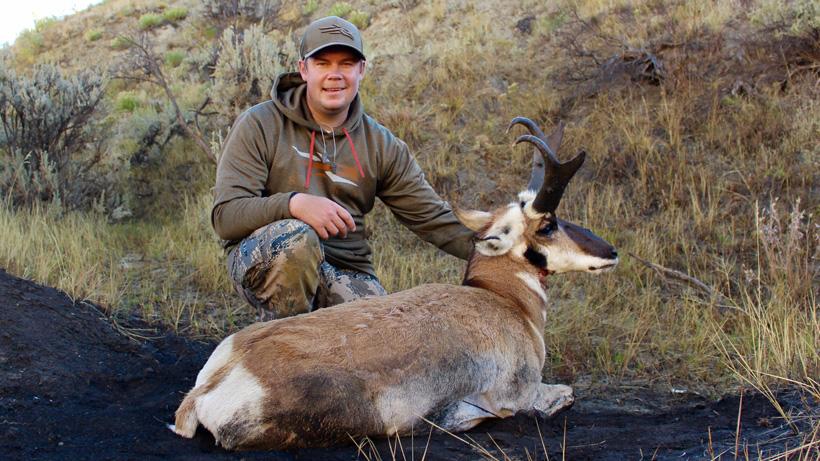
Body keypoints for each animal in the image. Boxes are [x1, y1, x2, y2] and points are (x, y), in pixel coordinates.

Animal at [171, 117, 619, 450]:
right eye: (548, 225)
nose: (611, 252)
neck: (502, 300)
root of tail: (220, 375)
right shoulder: (523, 394)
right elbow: (562, 395)